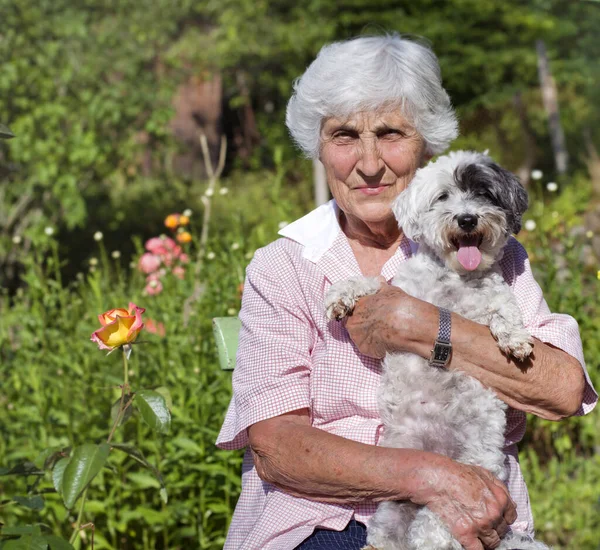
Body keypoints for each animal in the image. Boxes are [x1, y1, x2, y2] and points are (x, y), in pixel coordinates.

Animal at [326, 152, 552, 550]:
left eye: (483, 193)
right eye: (443, 197)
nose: (467, 218)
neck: (453, 279)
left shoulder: (492, 297)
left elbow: (504, 308)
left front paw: (515, 337)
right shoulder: (402, 291)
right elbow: (373, 284)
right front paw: (343, 293)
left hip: (465, 485)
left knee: (435, 528)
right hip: (394, 507)